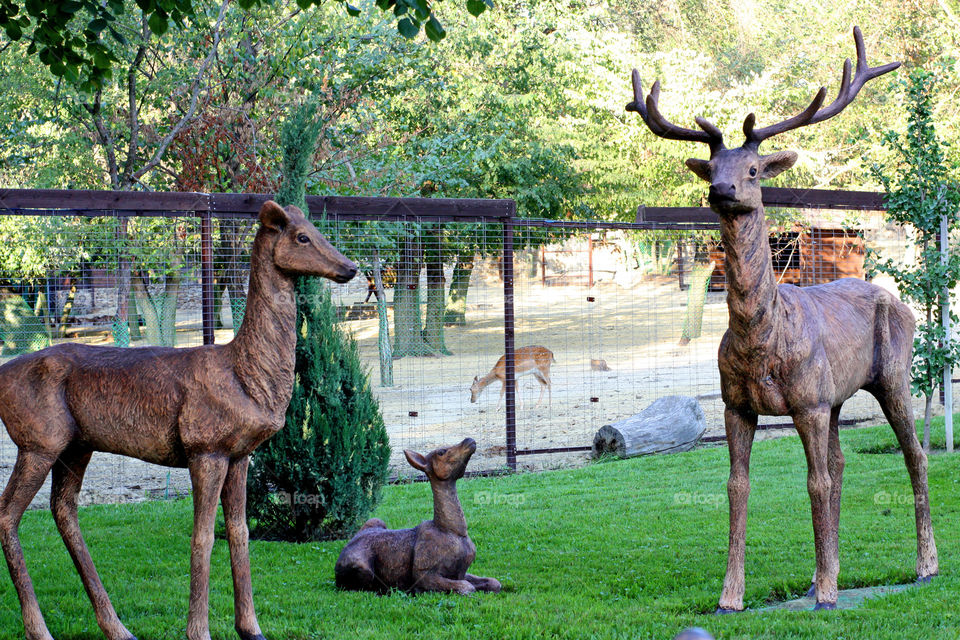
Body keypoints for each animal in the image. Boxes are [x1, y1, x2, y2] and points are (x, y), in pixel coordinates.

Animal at [0, 201, 358, 640]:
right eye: (302, 236)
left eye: (318, 230)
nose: (350, 267)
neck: (246, 376)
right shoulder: (205, 448)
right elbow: (202, 537)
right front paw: (199, 631)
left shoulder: (241, 454)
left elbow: (239, 532)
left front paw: (251, 627)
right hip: (38, 441)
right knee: (9, 515)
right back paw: (40, 629)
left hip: (76, 446)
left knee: (64, 510)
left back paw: (116, 627)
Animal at [336, 436, 502, 596]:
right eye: (441, 452)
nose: (469, 440)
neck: (453, 531)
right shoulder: (423, 573)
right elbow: (467, 587)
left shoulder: (459, 572)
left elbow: (494, 582)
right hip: (362, 567)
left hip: (376, 520)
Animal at [624, 27, 936, 612]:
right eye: (713, 169)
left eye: (751, 170)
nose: (720, 190)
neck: (759, 342)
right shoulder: (736, 405)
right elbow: (737, 487)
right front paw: (731, 596)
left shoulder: (807, 402)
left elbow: (814, 483)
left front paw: (829, 594)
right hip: (836, 395)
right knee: (841, 463)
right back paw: (820, 576)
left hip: (893, 376)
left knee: (914, 454)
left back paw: (922, 566)